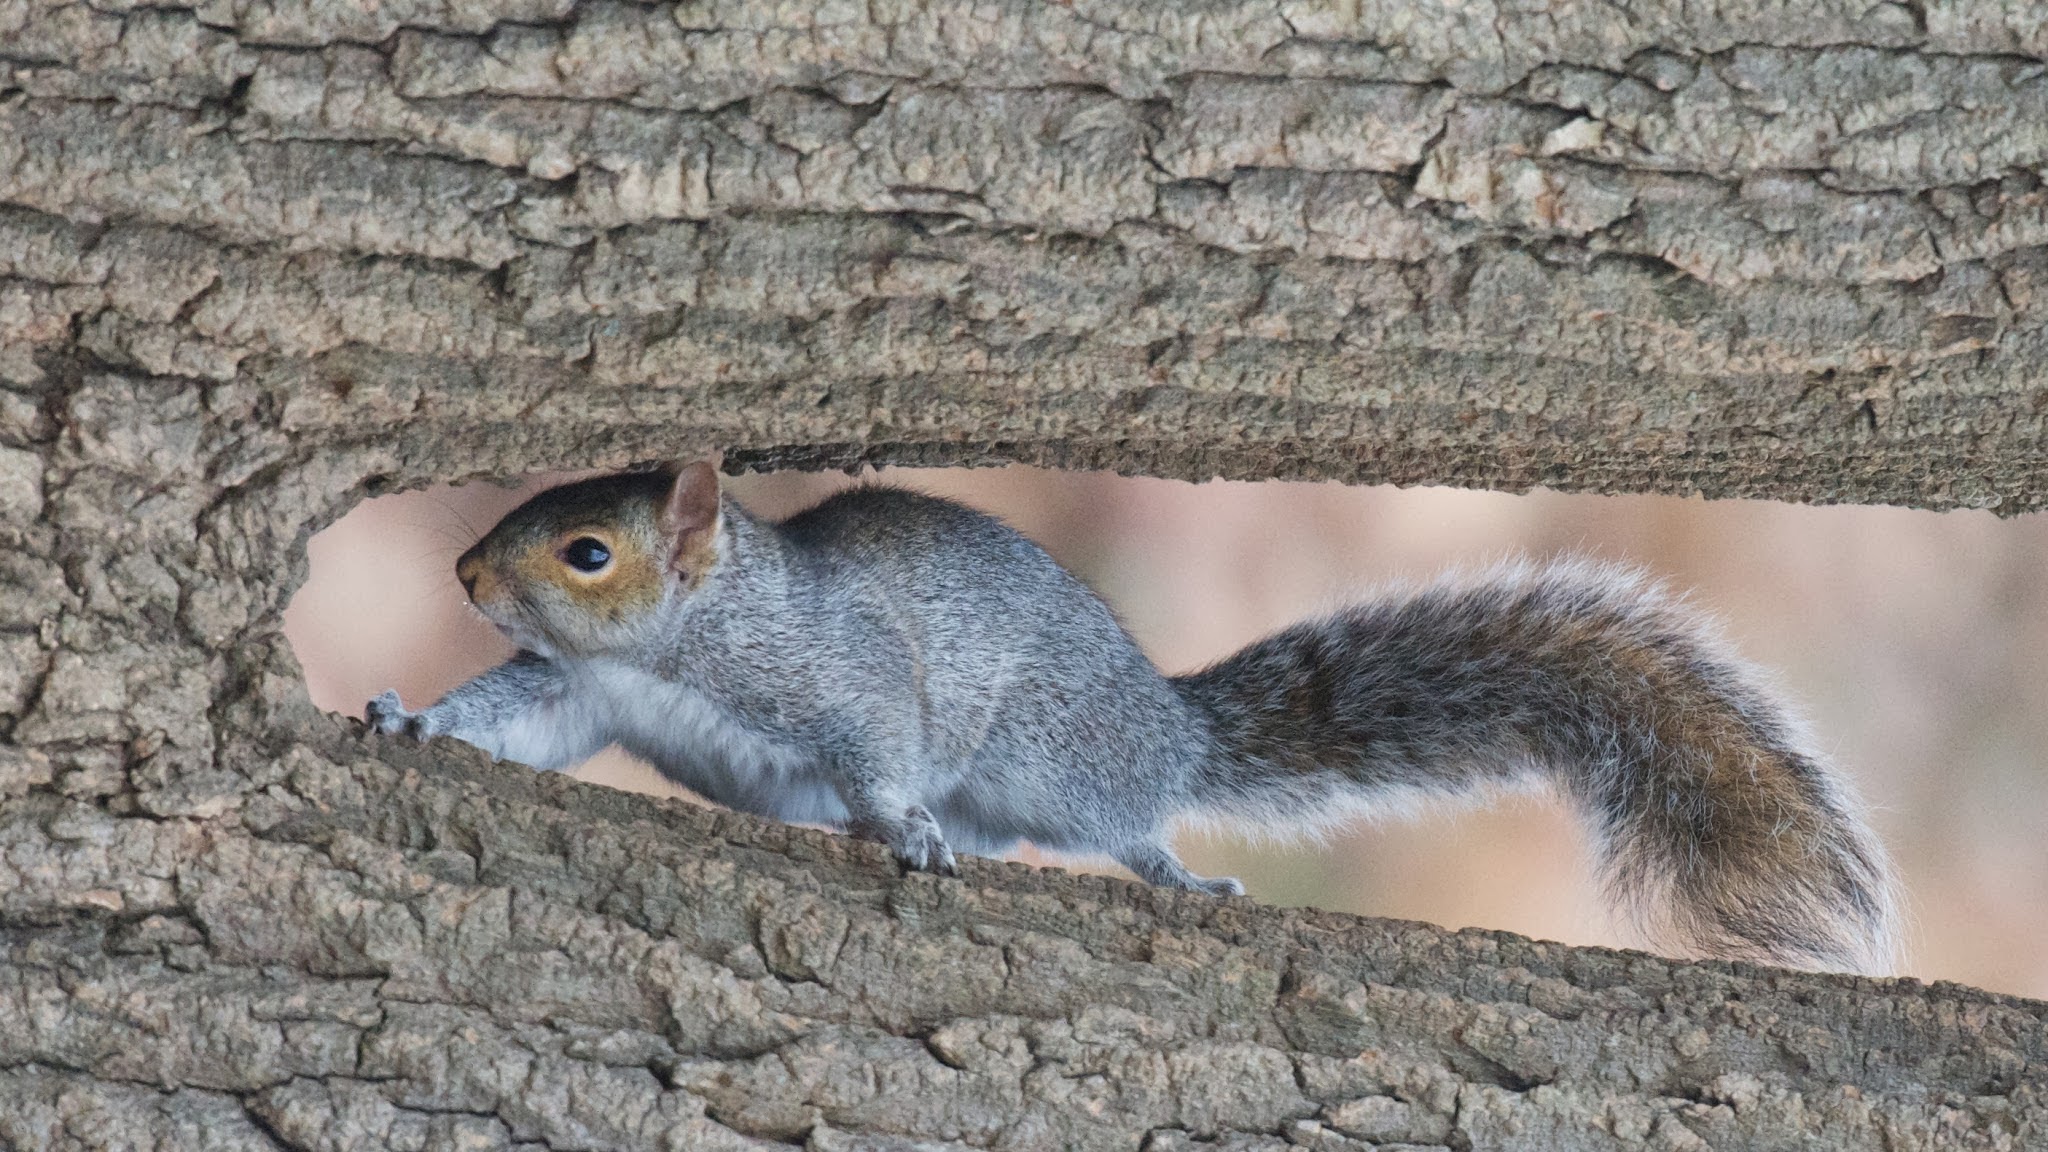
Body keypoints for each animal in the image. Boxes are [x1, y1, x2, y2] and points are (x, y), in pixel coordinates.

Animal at [366, 460, 1901, 973]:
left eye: (587, 552)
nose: (462, 574)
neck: (691, 637)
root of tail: (1166, 723)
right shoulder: (578, 689)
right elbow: (512, 719)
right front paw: (412, 720)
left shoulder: (841, 676)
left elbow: (876, 747)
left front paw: (899, 830)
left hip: (1057, 757)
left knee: (1124, 822)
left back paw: (1160, 861)